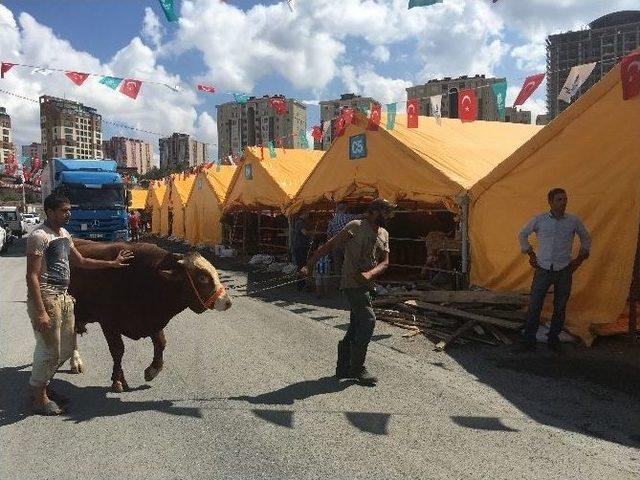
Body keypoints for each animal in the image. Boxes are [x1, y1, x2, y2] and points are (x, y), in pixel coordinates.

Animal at [69, 240, 232, 394]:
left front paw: (152, 370)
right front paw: (118, 380)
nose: (227, 302)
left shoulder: (154, 319)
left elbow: (161, 343)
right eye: (202, 277)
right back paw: (75, 361)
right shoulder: (109, 323)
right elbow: (118, 350)